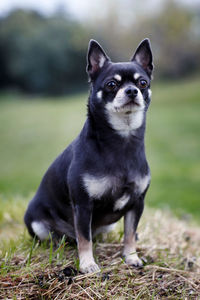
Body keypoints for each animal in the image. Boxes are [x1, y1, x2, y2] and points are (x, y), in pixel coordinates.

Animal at [24, 38, 153, 274]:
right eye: (111, 84)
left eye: (142, 83)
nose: (132, 91)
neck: (122, 140)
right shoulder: (83, 206)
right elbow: (85, 239)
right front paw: (87, 264)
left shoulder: (136, 203)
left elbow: (129, 234)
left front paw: (131, 257)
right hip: (38, 225)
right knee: (65, 238)